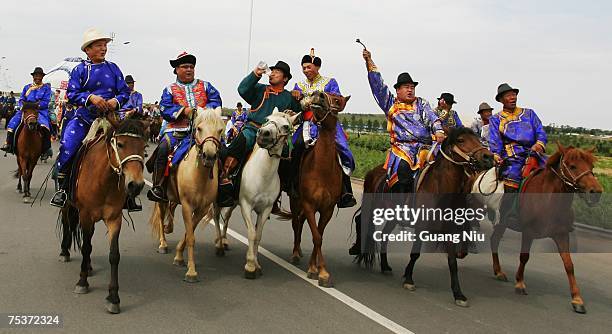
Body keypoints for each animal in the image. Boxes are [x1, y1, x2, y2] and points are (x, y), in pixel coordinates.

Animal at [58, 116, 147, 314]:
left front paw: (113, 297)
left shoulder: (114, 218)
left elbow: (114, 255)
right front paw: (82, 282)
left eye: (144, 148)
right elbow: (86, 247)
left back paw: (89, 266)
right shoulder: (85, 215)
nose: (136, 185)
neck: (103, 179)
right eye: (120, 144)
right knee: (67, 223)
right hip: (68, 204)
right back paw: (65, 252)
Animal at [148, 107, 225, 282]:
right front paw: (191, 271)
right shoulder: (187, 206)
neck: (200, 177)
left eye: (220, 130)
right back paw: (163, 243)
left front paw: (179, 256)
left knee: (171, 209)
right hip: (161, 197)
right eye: (199, 128)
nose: (209, 156)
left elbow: (189, 233)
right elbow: (190, 237)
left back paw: (168, 227)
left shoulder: (202, 209)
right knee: (161, 215)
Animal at [215, 111, 302, 278]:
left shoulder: (265, 209)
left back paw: (224, 241)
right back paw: (218, 245)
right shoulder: (246, 206)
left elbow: (258, 235)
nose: (263, 134)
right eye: (267, 119)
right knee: (216, 217)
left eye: (286, 126)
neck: (263, 174)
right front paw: (249, 266)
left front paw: (256, 264)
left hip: (234, 202)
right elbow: (252, 233)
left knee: (226, 216)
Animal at [356, 128, 494, 308]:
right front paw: (408, 279)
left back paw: (385, 266)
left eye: (477, 138)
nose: (488, 157)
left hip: (392, 217)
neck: (439, 187)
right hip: (372, 208)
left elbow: (452, 262)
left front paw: (458, 294)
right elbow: (415, 254)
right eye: (461, 140)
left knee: (384, 236)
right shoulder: (421, 227)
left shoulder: (448, 230)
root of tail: (374, 171)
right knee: (363, 224)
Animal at [488, 144, 604, 314]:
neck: (548, 200)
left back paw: (498, 271)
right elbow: (524, 257)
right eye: (572, 166)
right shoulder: (528, 231)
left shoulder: (561, 234)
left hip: (502, 223)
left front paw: (577, 299)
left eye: (592, 166)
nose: (596, 192)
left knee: (494, 240)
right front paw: (520, 283)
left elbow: (569, 265)